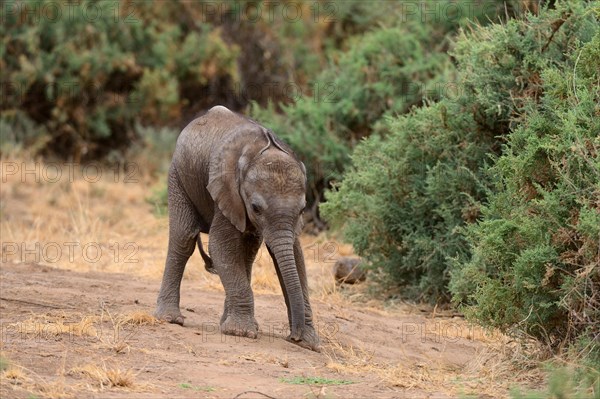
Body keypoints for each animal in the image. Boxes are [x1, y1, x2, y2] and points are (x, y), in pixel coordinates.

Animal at [156, 104, 324, 352]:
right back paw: (170, 319)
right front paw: (240, 333)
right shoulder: (227, 191)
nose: (294, 337)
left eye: (303, 209)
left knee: (248, 252)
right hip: (178, 175)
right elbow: (220, 247)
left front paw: (310, 343)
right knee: (183, 238)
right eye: (255, 208)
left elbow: (295, 255)